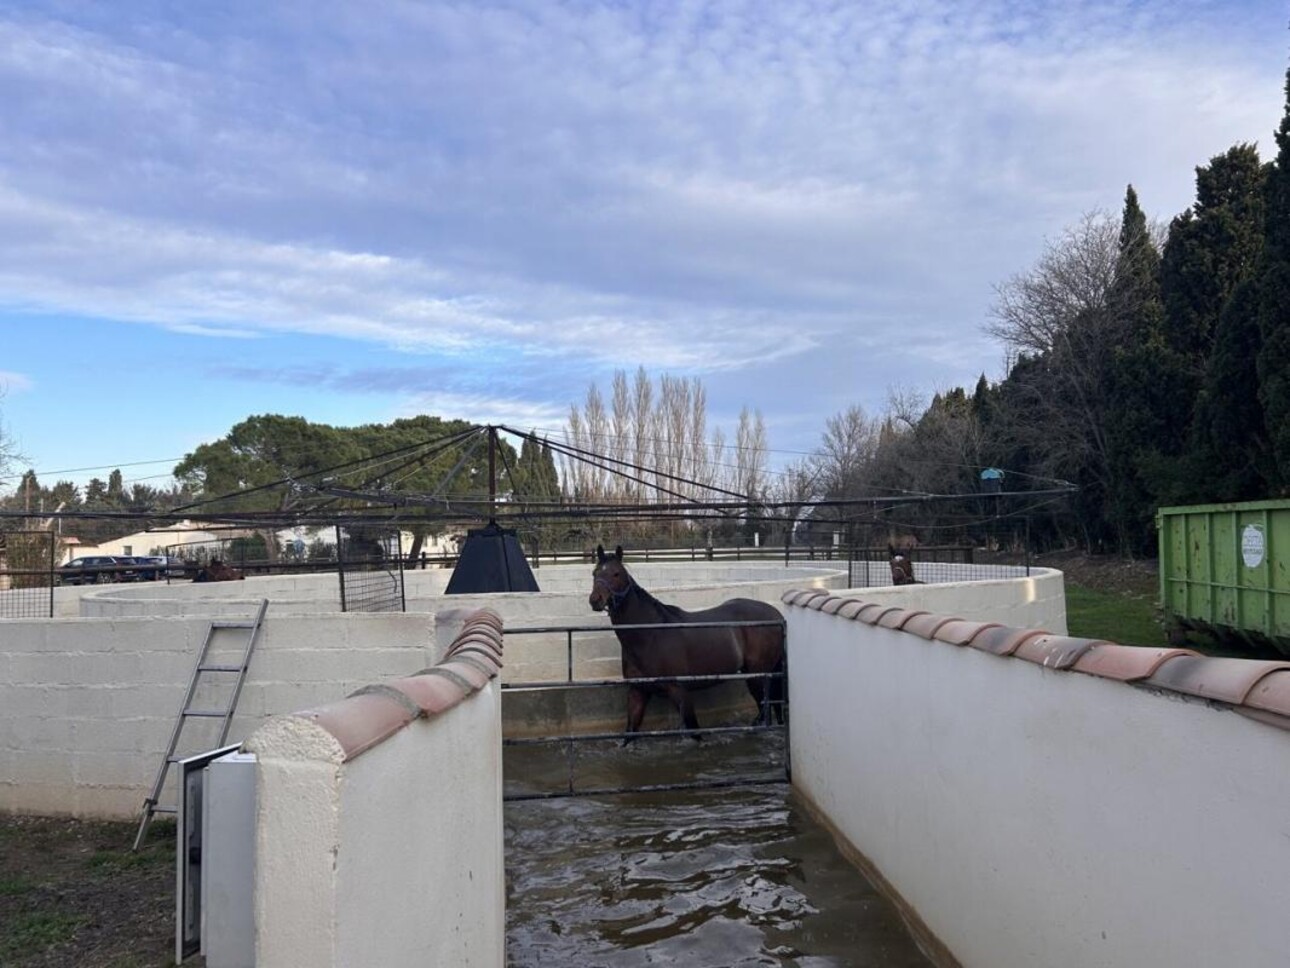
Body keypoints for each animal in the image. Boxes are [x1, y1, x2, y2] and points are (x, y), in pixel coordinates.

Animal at [588, 547, 784, 743]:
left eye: (616, 573)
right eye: (595, 573)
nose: (595, 600)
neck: (650, 635)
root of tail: (776, 614)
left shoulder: (679, 691)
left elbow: (694, 730)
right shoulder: (638, 691)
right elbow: (630, 732)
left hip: (757, 676)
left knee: (764, 708)